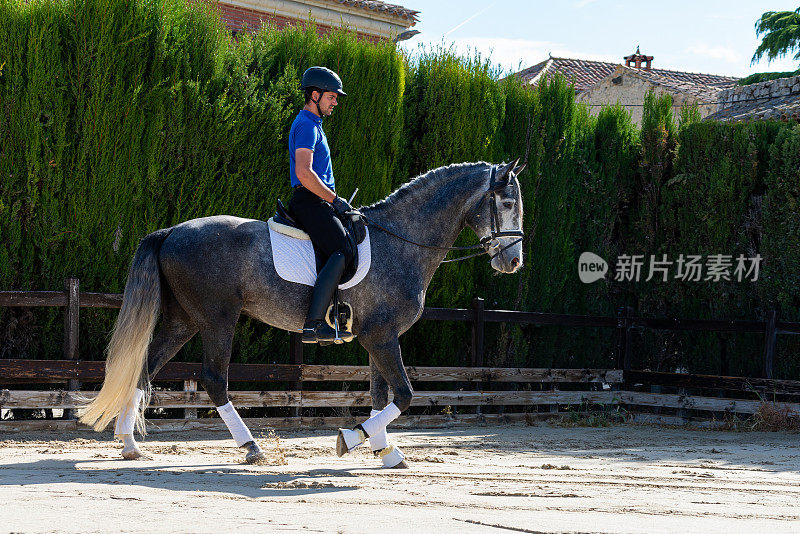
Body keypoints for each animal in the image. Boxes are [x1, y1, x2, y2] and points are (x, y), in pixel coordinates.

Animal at [79, 158, 524, 468]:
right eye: (506, 202)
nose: (514, 262)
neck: (402, 241)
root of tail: (172, 231)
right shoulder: (380, 336)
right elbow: (403, 395)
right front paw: (353, 439)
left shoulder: (379, 336)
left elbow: (381, 395)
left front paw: (384, 451)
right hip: (217, 319)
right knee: (213, 380)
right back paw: (251, 447)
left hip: (183, 321)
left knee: (144, 368)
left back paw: (129, 445)